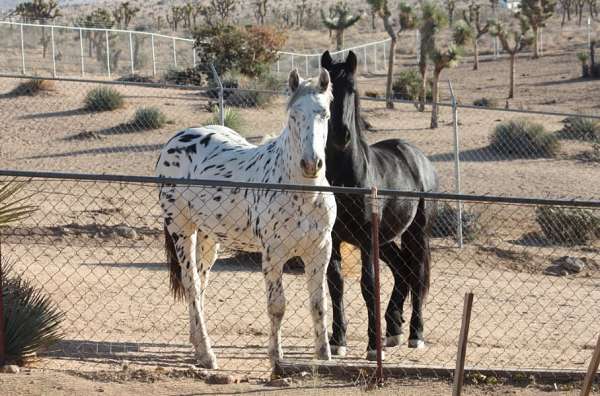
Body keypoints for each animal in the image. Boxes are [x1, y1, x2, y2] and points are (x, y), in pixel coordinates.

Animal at [157, 69, 338, 372]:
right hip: (181, 230)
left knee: (201, 284)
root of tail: (175, 140)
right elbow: (277, 306)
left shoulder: (319, 251)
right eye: (293, 115)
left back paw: (196, 345)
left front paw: (324, 357)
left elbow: (318, 305)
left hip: (209, 237)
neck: (303, 192)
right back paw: (207, 354)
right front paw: (276, 357)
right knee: (191, 283)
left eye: (324, 114)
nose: (311, 164)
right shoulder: (274, 254)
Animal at [322, 51, 438, 360]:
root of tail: (416, 156)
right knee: (401, 270)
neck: (347, 176)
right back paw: (394, 329)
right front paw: (338, 340)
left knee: (416, 273)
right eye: (327, 89)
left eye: (352, 89)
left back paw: (415, 334)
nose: (341, 135)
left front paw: (372, 347)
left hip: (415, 232)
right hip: (385, 239)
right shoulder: (334, 237)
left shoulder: (365, 239)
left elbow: (368, 285)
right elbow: (336, 284)